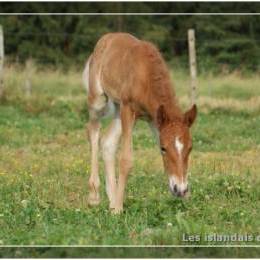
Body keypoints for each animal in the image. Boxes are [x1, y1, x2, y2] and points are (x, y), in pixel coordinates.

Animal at [82, 32, 196, 213]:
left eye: (190, 148)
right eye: (164, 148)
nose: (180, 190)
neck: (146, 75)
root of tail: (106, 38)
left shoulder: (154, 119)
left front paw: (186, 198)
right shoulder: (129, 109)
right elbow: (126, 159)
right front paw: (119, 209)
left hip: (118, 109)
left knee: (107, 142)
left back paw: (112, 200)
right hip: (99, 99)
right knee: (93, 130)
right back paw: (95, 196)